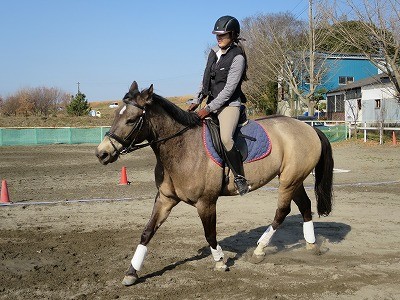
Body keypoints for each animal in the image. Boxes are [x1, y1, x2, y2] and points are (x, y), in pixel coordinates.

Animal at [95, 82, 332, 286]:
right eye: (116, 115)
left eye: (131, 120)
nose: (102, 153)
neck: (181, 148)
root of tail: (308, 128)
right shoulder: (165, 199)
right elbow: (147, 232)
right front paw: (131, 272)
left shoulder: (206, 202)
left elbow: (210, 234)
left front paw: (219, 262)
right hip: (295, 180)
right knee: (305, 206)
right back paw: (311, 245)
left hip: (289, 181)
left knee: (282, 212)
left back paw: (259, 250)